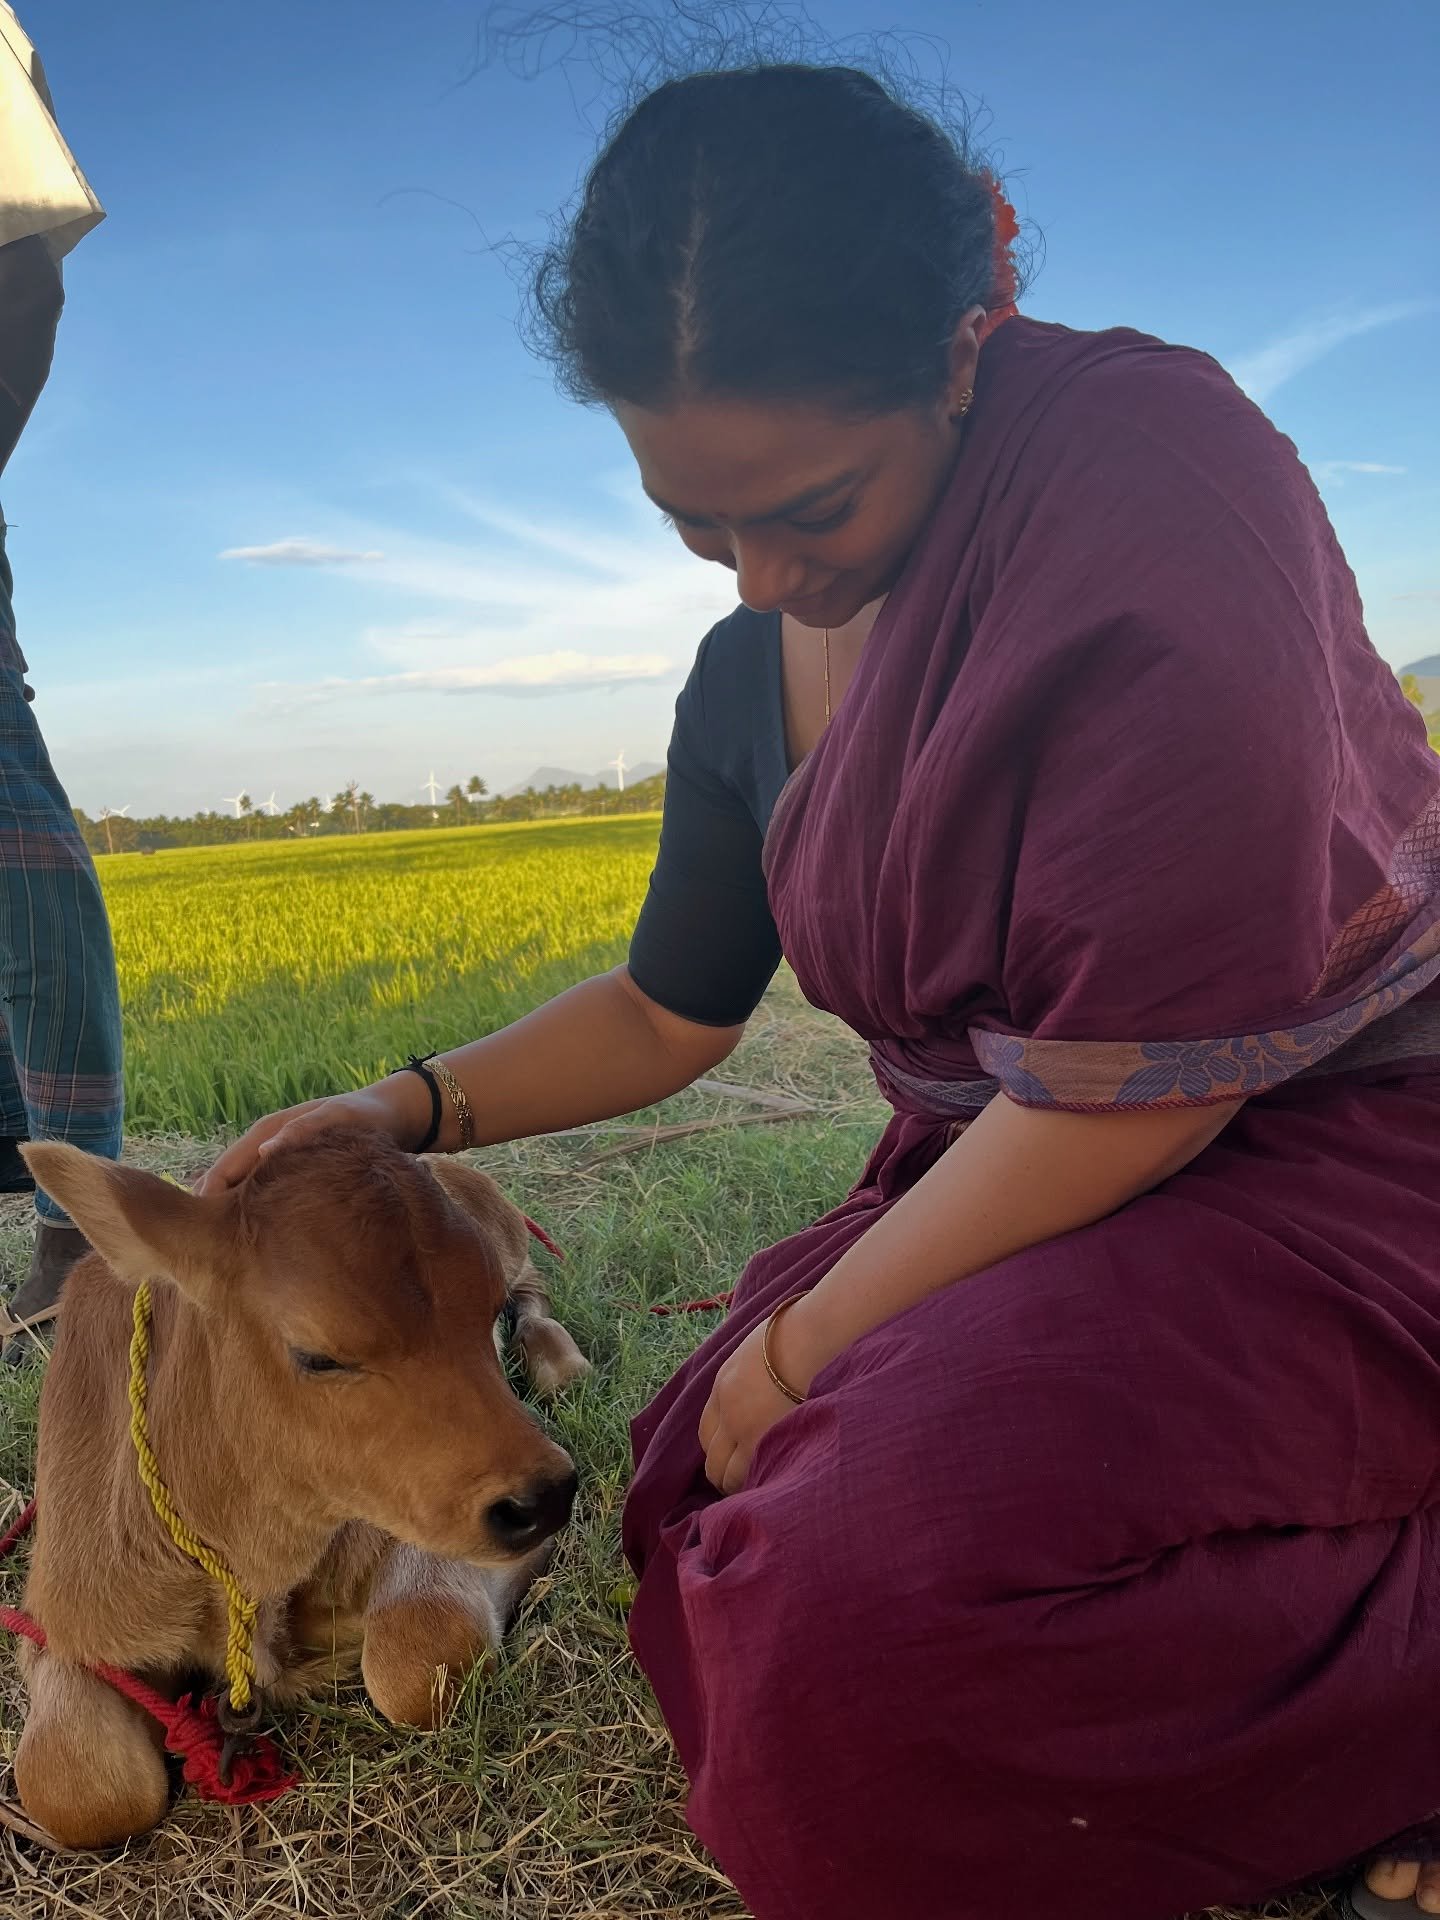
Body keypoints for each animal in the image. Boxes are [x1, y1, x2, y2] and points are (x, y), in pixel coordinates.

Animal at [5, 1128, 590, 1850]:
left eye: (479, 1316)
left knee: (533, 1284)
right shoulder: (66, 1618)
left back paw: (558, 1359)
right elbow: (76, 1789)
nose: (546, 1495)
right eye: (318, 1355)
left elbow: (414, 1659)